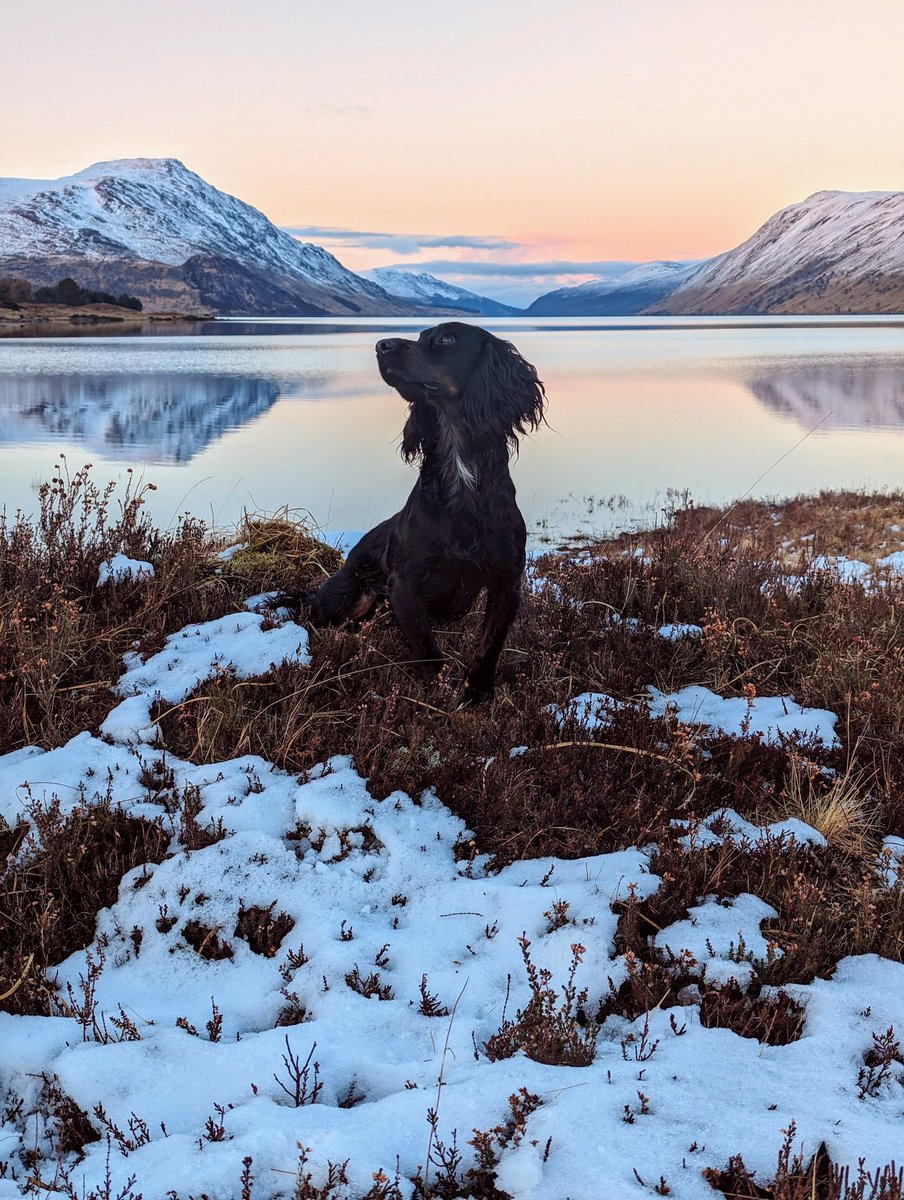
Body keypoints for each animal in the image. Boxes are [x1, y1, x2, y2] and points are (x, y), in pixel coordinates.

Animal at [307, 324, 542, 700]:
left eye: (446, 339)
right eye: (420, 336)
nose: (381, 344)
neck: (461, 474)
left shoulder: (507, 580)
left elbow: (489, 644)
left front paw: (477, 693)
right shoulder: (404, 584)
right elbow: (426, 647)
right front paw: (438, 692)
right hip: (351, 591)